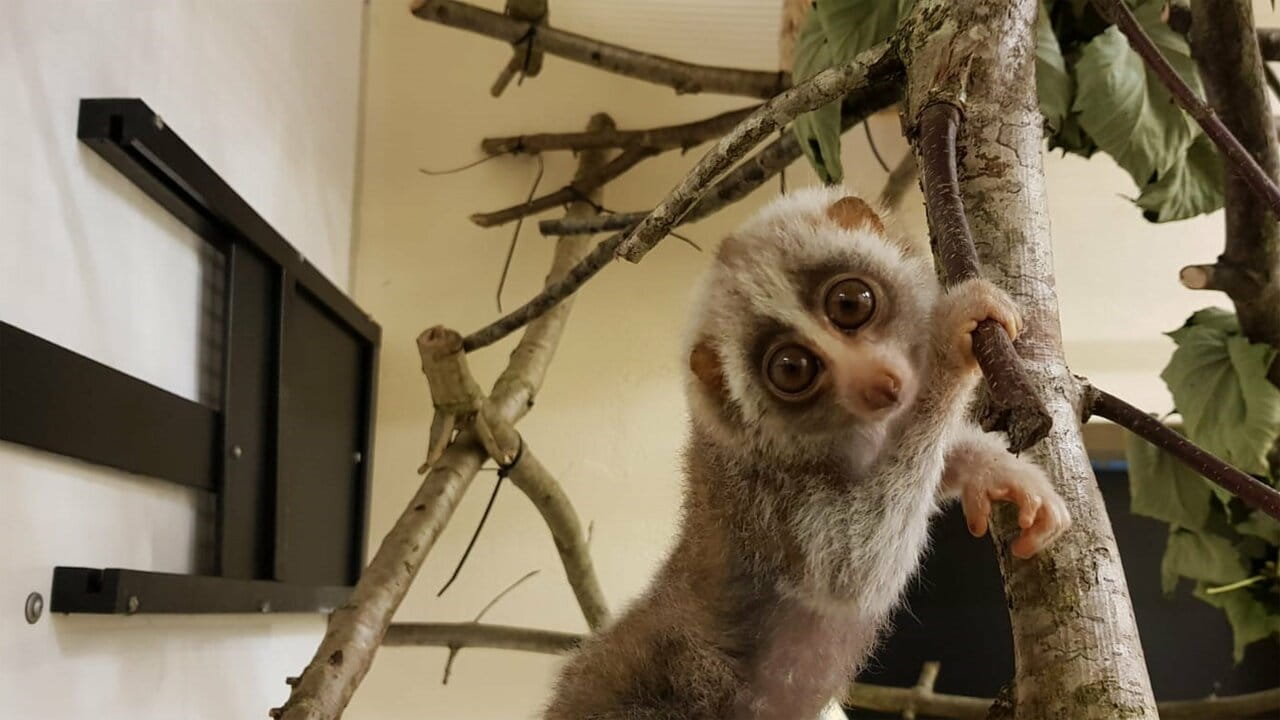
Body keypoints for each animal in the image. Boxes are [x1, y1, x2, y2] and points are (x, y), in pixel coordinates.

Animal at [543, 186, 1071, 720]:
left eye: (850, 303)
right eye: (792, 369)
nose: (879, 383)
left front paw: (999, 474)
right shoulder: (764, 495)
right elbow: (852, 565)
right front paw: (947, 340)